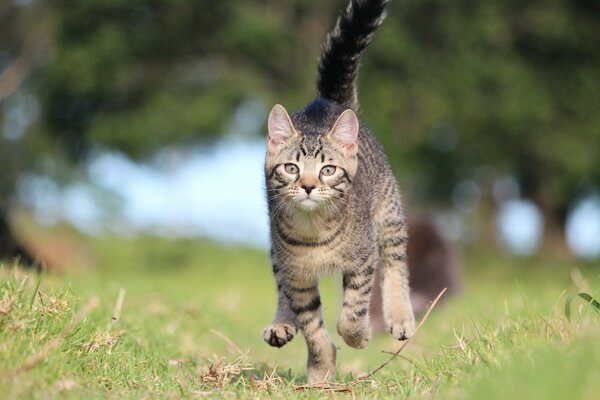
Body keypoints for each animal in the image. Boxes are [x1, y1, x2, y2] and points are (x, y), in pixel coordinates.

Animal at [264, 0, 414, 382]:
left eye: (327, 170)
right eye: (291, 168)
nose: (307, 186)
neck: (314, 228)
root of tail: (327, 102)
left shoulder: (363, 258)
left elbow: (354, 306)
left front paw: (357, 336)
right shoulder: (297, 275)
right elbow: (313, 327)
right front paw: (321, 367)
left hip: (388, 213)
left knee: (396, 261)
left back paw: (400, 316)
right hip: (277, 251)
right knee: (281, 287)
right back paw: (282, 323)